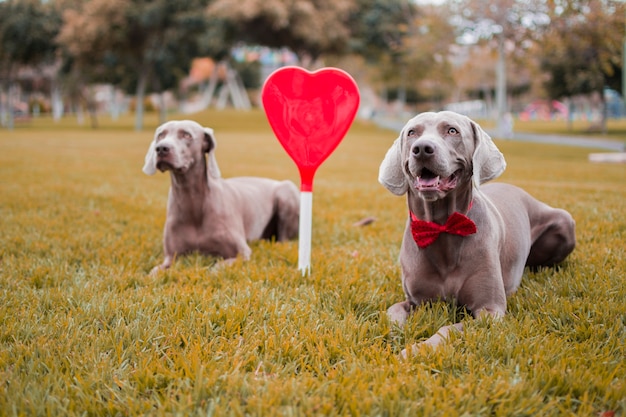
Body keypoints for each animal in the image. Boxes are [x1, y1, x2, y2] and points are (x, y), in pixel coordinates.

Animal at [143, 119, 298, 272]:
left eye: (187, 135)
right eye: (160, 135)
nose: (161, 148)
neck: (192, 200)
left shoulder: (242, 253)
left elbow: (216, 268)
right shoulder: (171, 256)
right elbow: (154, 271)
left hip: (287, 192)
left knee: (284, 239)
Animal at [376, 110, 576, 354]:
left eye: (452, 130)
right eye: (412, 132)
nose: (422, 148)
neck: (442, 226)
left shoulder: (489, 310)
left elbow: (448, 329)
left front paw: (416, 350)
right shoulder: (416, 301)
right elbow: (392, 312)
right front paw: (395, 338)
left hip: (565, 222)